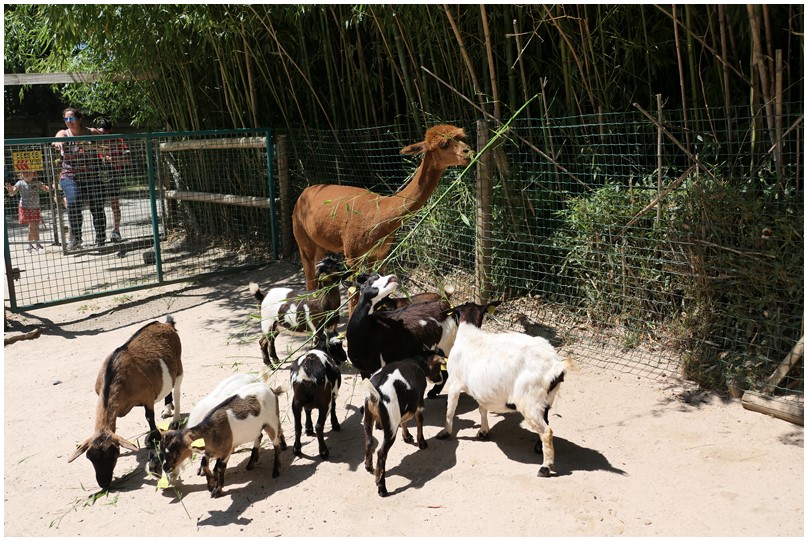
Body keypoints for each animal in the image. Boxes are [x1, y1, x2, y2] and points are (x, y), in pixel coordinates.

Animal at [67, 314, 184, 488]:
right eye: (90, 457)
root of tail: (167, 324)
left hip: (179, 366)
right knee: (168, 389)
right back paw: (167, 410)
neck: (114, 376)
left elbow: (149, 417)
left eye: (113, 454)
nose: (103, 483)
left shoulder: (147, 395)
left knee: (176, 390)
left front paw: (153, 438)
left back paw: (175, 421)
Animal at [292, 125, 474, 292]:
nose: (468, 152)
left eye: (462, 138)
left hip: (321, 244)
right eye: (444, 144)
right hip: (302, 238)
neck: (378, 214)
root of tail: (304, 192)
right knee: (310, 281)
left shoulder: (380, 254)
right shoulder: (352, 255)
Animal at [362, 352, 446, 496]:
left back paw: (369, 467)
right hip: (390, 427)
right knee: (381, 454)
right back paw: (382, 488)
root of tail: (375, 393)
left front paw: (407, 437)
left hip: (368, 419)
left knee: (369, 442)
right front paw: (422, 443)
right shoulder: (419, 403)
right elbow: (419, 422)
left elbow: (404, 421)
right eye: (438, 366)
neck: (417, 363)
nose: (441, 379)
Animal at [436, 300, 568, 476]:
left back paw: (545, 467)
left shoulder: (455, 383)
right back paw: (539, 448)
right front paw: (483, 432)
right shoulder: (483, 391)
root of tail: (555, 367)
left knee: (547, 432)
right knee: (546, 423)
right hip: (546, 399)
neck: (470, 335)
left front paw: (445, 433)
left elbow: (450, 411)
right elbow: (482, 409)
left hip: (530, 401)